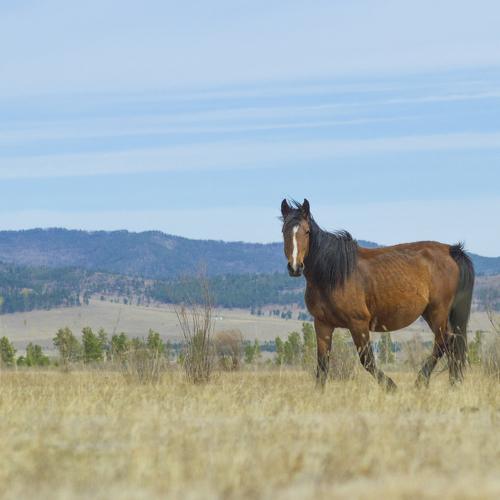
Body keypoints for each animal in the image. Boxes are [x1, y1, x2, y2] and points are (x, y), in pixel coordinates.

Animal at [280, 198, 475, 391]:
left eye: (307, 231)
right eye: (283, 231)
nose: (295, 267)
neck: (333, 275)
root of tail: (452, 250)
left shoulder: (358, 323)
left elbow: (367, 360)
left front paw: (390, 386)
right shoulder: (322, 324)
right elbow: (322, 365)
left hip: (438, 311)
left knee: (444, 341)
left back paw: (422, 381)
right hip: (431, 313)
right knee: (451, 345)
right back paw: (453, 383)